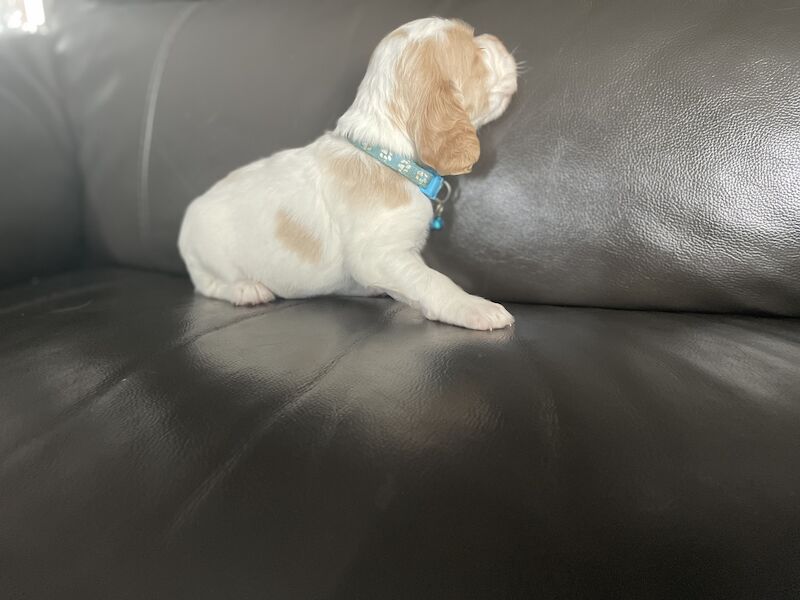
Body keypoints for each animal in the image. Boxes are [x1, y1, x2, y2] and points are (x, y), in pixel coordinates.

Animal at [179, 16, 520, 330]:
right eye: (477, 52)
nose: (498, 40)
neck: (387, 155)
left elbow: (419, 275)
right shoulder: (378, 255)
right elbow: (432, 279)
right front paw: (474, 306)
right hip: (209, 256)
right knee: (208, 285)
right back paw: (246, 289)